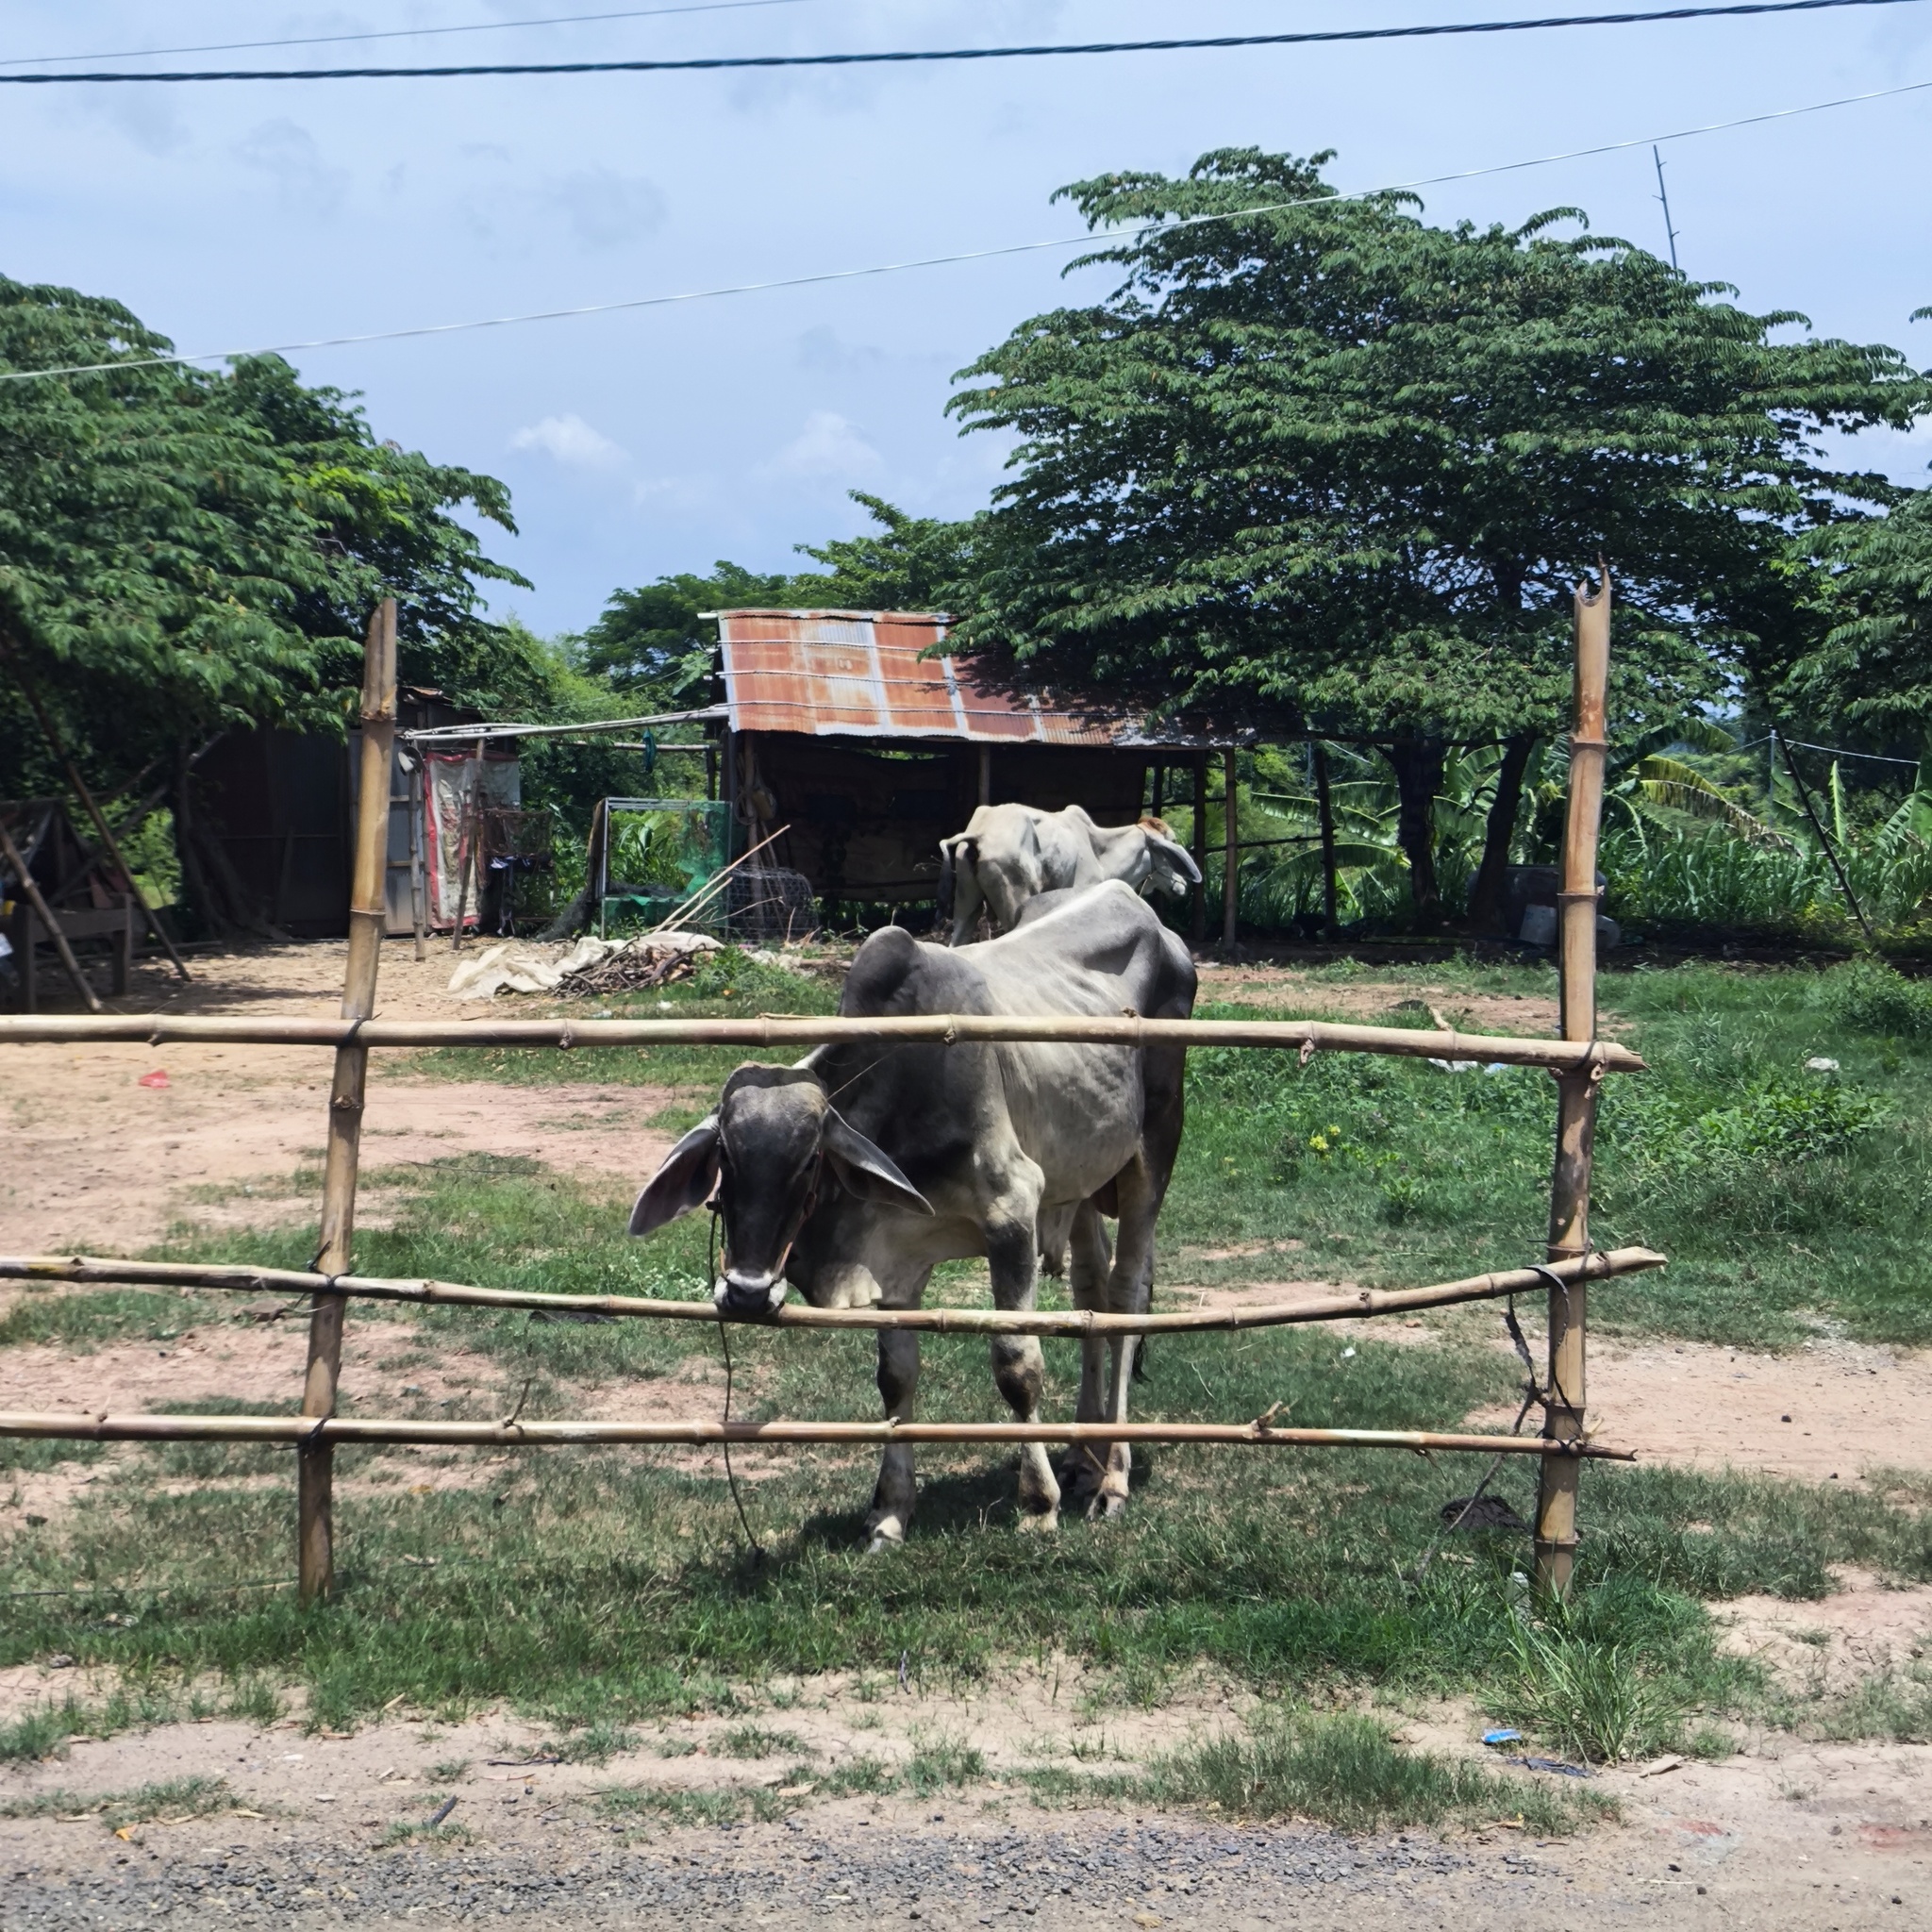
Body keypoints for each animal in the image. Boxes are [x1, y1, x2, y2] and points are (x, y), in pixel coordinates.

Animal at [629, 884, 1190, 1545]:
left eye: (808, 1164)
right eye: (726, 1162)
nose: (745, 1293)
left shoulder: (1013, 1213)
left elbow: (1016, 1366)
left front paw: (1037, 1503)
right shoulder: (894, 1258)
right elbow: (895, 1377)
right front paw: (891, 1512)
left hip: (1152, 1152)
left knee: (1127, 1295)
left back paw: (1113, 1480)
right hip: (1079, 1179)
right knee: (1091, 1292)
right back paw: (1083, 1457)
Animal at [931, 799, 1190, 950]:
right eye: (1172, 844)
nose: (1183, 884)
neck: (1101, 854)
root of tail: (979, 834)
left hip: (966, 905)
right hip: (1015, 906)